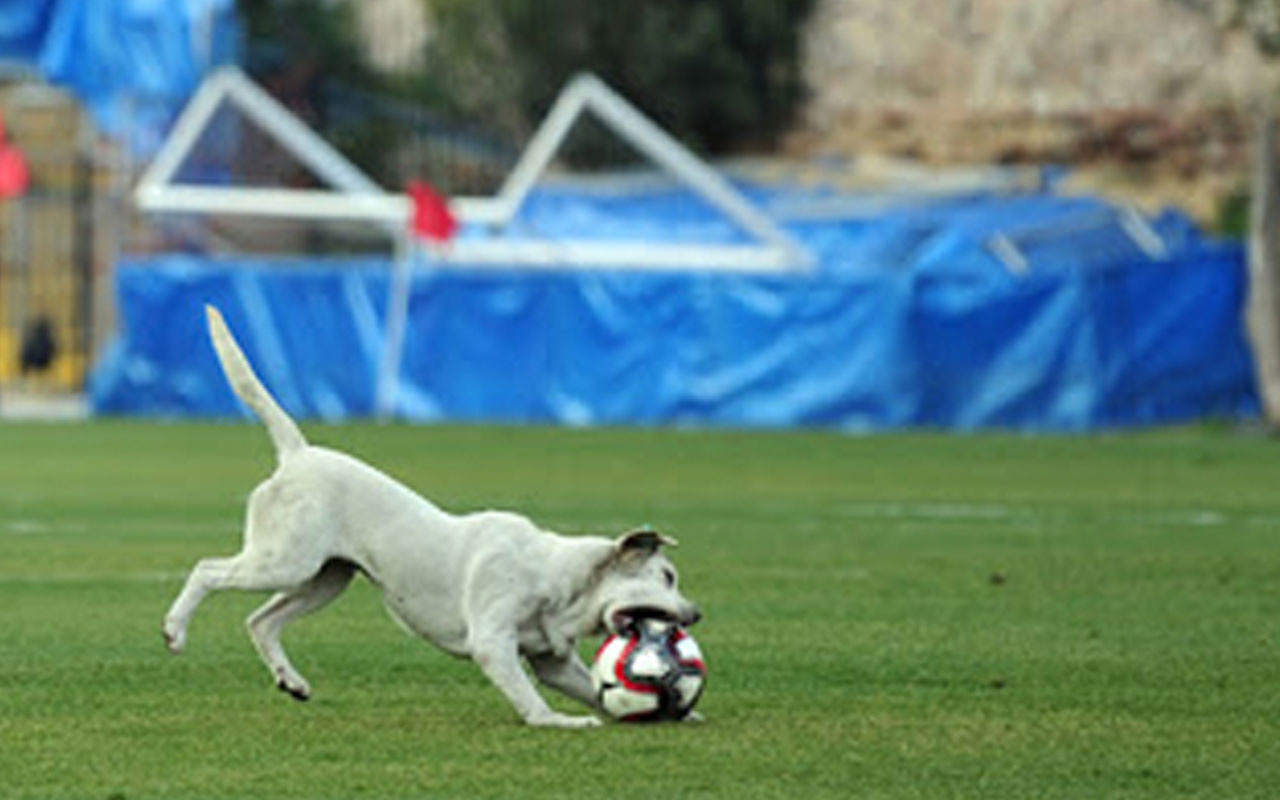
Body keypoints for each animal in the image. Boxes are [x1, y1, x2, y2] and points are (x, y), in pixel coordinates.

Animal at [162, 307, 701, 732]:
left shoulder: (553, 662)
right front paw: (560, 721)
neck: (558, 577)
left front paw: (679, 711)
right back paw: (175, 630)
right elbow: (531, 699)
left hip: (325, 579)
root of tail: (298, 454)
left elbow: (590, 686)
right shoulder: (493, 643)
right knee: (207, 570)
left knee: (261, 621)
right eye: (667, 576)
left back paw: (290, 680)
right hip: (284, 562)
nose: (696, 614)